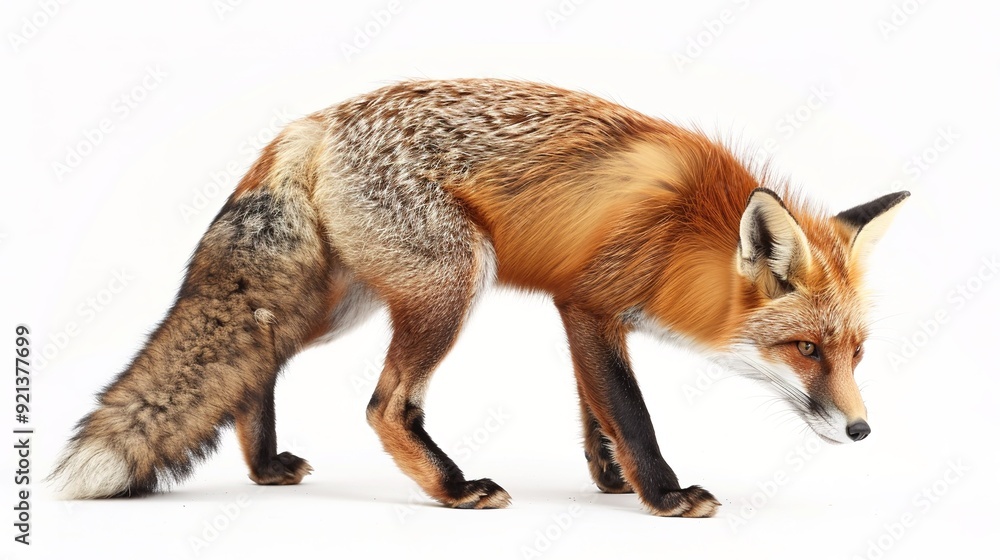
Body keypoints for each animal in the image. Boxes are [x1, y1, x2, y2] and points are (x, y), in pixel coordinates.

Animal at [49, 78, 909, 517]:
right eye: (805, 349)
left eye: (857, 353)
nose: (864, 430)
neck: (687, 230)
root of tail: (313, 121)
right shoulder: (590, 305)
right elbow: (630, 411)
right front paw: (663, 495)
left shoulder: (585, 312)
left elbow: (596, 412)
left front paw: (612, 482)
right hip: (451, 285)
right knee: (384, 405)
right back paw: (453, 489)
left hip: (345, 302)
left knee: (258, 358)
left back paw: (263, 467)